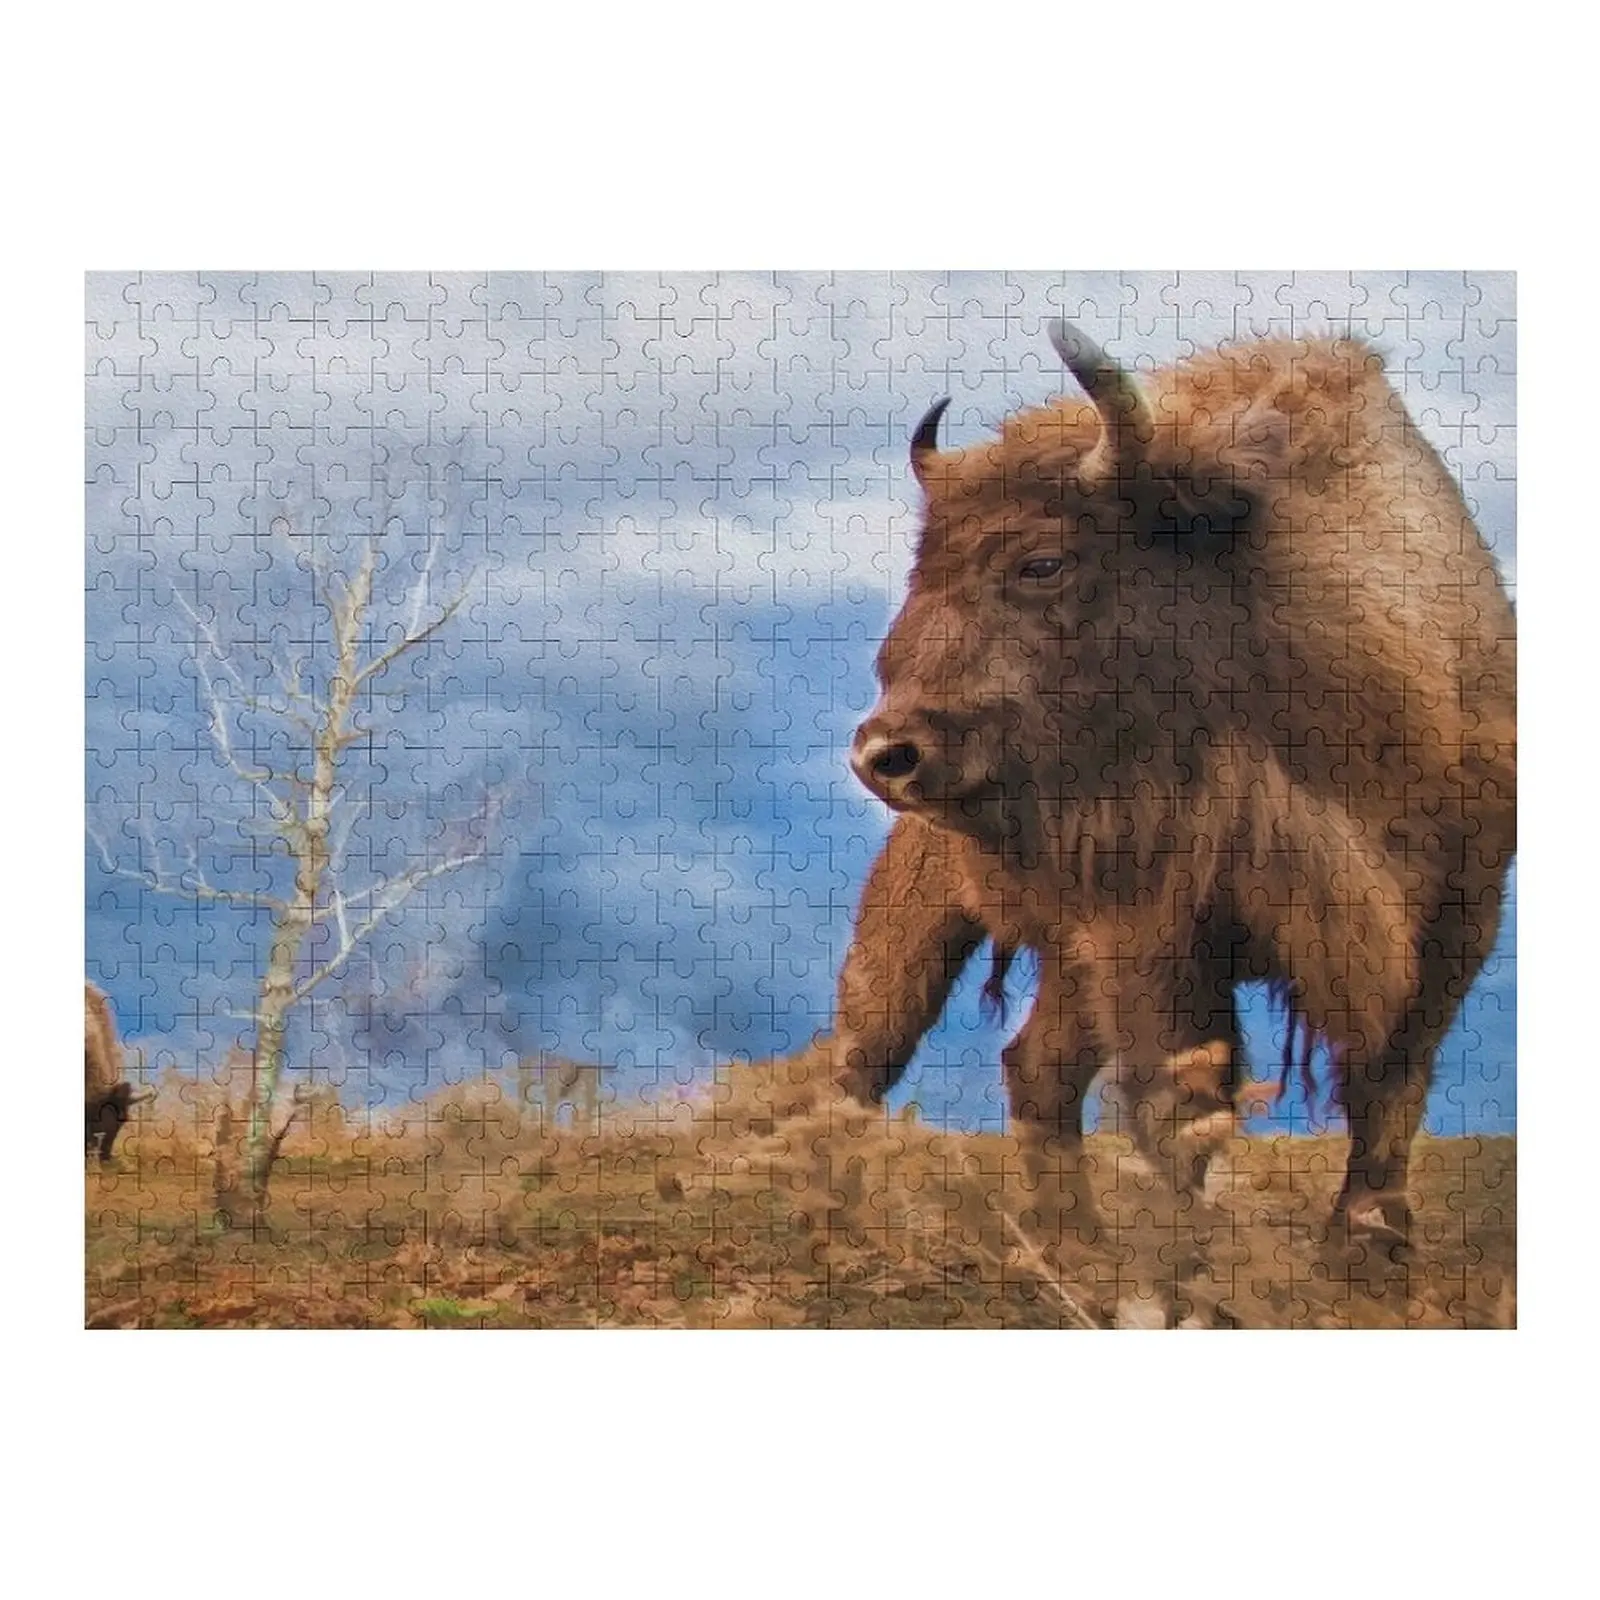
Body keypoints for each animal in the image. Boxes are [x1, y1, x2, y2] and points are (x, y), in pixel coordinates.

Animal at [829, 322, 1516, 1287]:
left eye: (1042, 561)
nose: (886, 753)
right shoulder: (1152, 930)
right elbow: (1183, 1103)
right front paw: (1198, 1261)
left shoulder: (1460, 911)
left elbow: (1393, 1075)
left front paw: (1370, 1245)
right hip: (928, 908)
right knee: (868, 1048)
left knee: (1036, 1065)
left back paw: (1071, 1242)